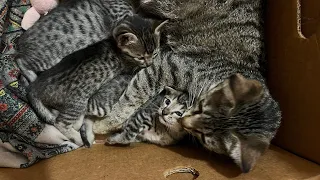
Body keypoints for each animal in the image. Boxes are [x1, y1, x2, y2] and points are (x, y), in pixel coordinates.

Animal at [94, 0, 282, 173]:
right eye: (201, 107)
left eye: (203, 137)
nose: (183, 122)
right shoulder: (165, 64)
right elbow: (133, 96)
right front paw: (105, 123)